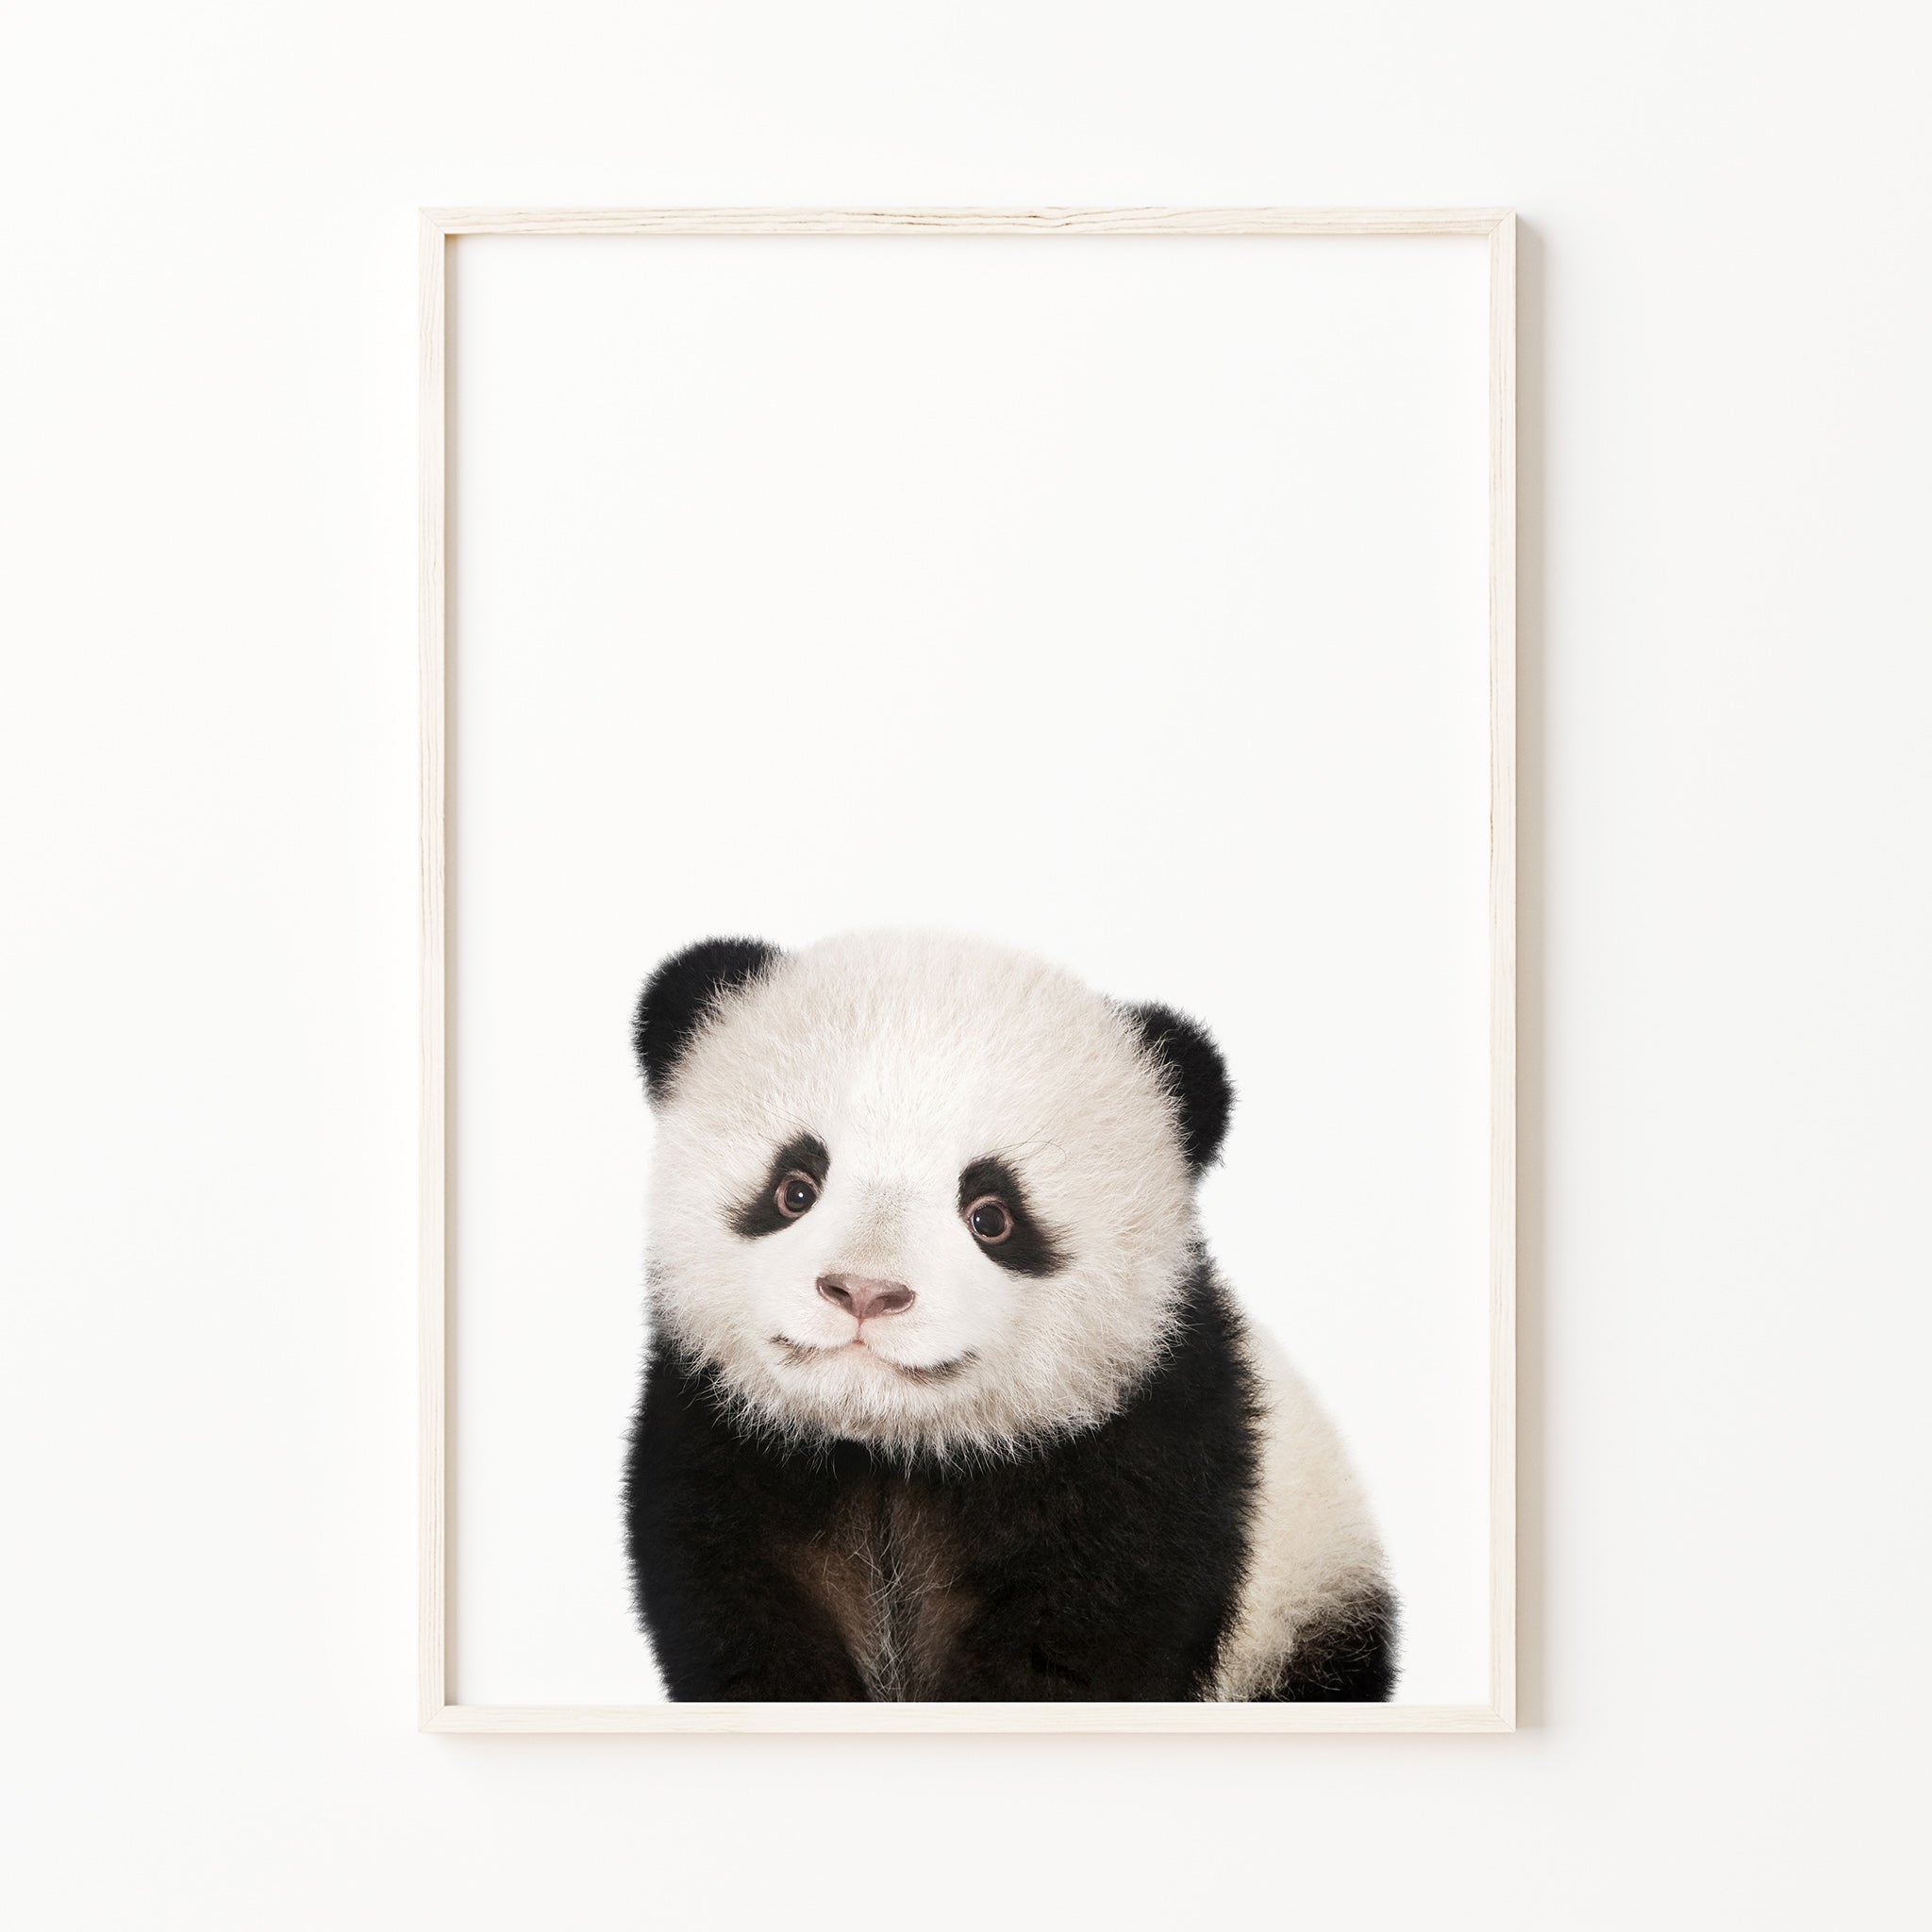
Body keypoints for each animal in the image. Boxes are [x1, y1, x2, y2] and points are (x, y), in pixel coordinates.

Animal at [623, 930, 1396, 1702]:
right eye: (795, 1189)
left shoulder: (1145, 1450)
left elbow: (1070, 1644)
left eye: (991, 1215)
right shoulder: (723, 1440)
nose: (865, 1292)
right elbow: (743, 1615)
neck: (895, 1450)